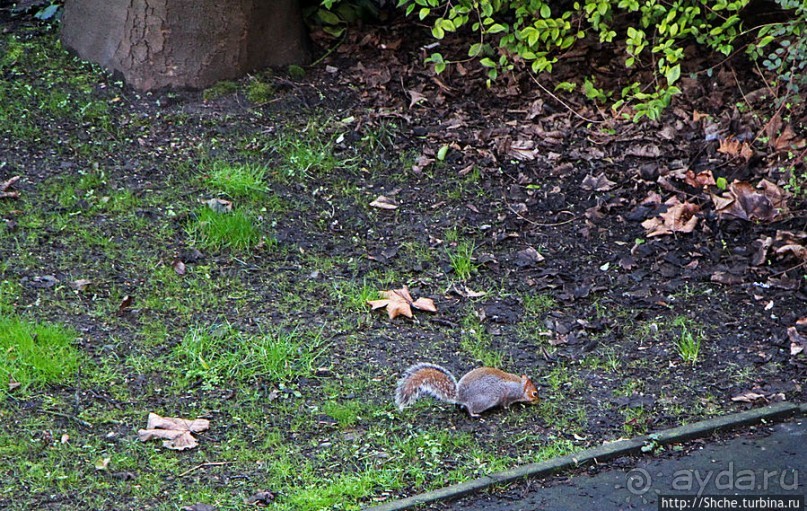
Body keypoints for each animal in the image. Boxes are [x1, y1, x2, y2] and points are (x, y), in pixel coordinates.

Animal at [394, 362, 540, 418]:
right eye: (535, 393)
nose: (538, 401)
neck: (519, 386)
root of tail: (460, 396)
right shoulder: (508, 395)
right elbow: (505, 404)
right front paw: (509, 409)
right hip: (484, 401)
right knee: (470, 408)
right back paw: (474, 414)